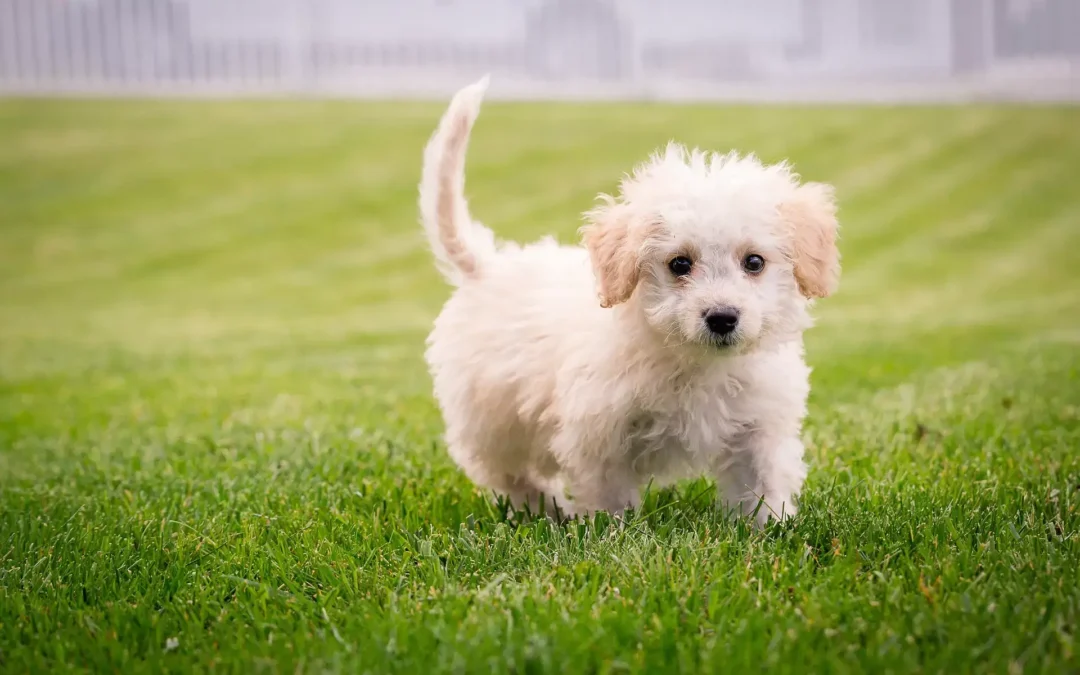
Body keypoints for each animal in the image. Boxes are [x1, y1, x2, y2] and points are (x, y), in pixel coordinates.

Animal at [416, 77, 838, 527]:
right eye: (679, 263)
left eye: (754, 262)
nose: (722, 318)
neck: (693, 363)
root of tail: (488, 264)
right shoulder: (598, 435)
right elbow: (610, 498)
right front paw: (613, 533)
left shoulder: (758, 428)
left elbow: (761, 486)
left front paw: (770, 528)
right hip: (492, 421)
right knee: (510, 474)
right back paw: (550, 511)